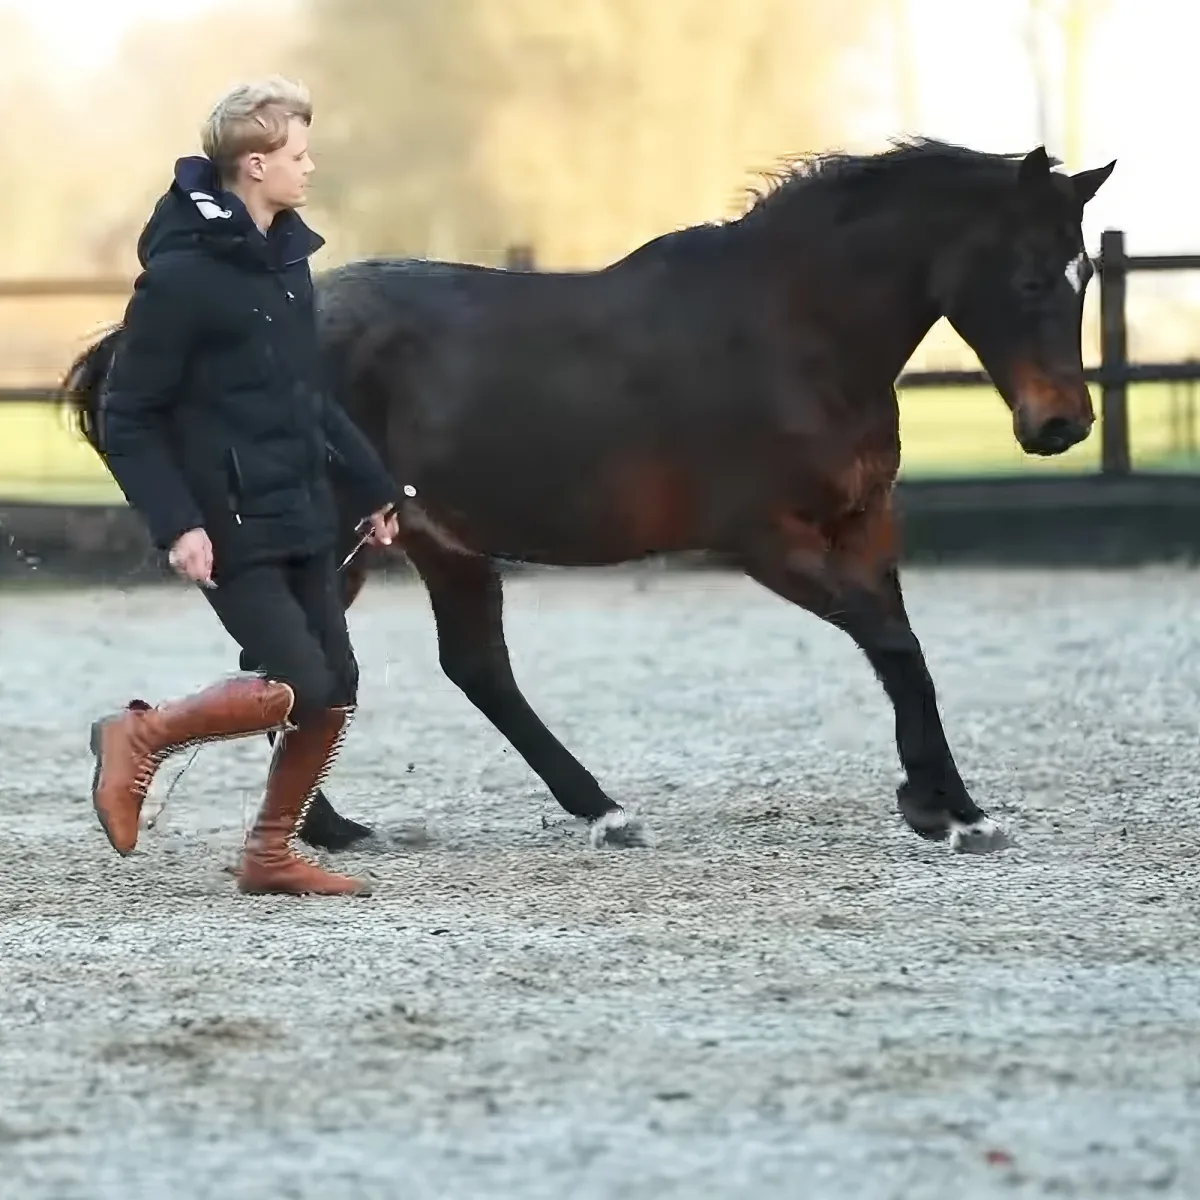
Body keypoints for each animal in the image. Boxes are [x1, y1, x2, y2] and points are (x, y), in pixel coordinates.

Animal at [63, 137, 1115, 855]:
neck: (793, 333)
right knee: (305, 664)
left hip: (433, 541)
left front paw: (949, 803)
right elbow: (893, 645)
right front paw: (946, 812)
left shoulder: (865, 526)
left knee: (455, 668)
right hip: (337, 548)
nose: (1061, 424)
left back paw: (577, 811)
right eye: (1029, 276)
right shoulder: (767, 540)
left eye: (1085, 273)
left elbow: (907, 655)